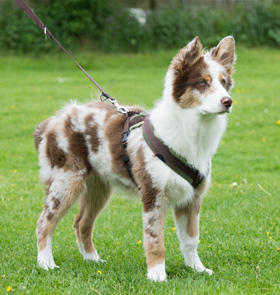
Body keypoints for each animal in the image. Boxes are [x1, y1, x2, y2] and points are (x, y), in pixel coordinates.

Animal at [34, 35, 236, 280]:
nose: (228, 101)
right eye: (202, 83)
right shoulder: (153, 196)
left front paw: (197, 268)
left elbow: (191, 240)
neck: (190, 132)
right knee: (45, 222)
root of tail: (52, 120)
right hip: (67, 180)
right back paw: (46, 263)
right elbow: (155, 240)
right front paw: (157, 276)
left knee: (81, 222)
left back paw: (93, 260)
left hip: (99, 187)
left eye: (223, 82)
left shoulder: (192, 199)